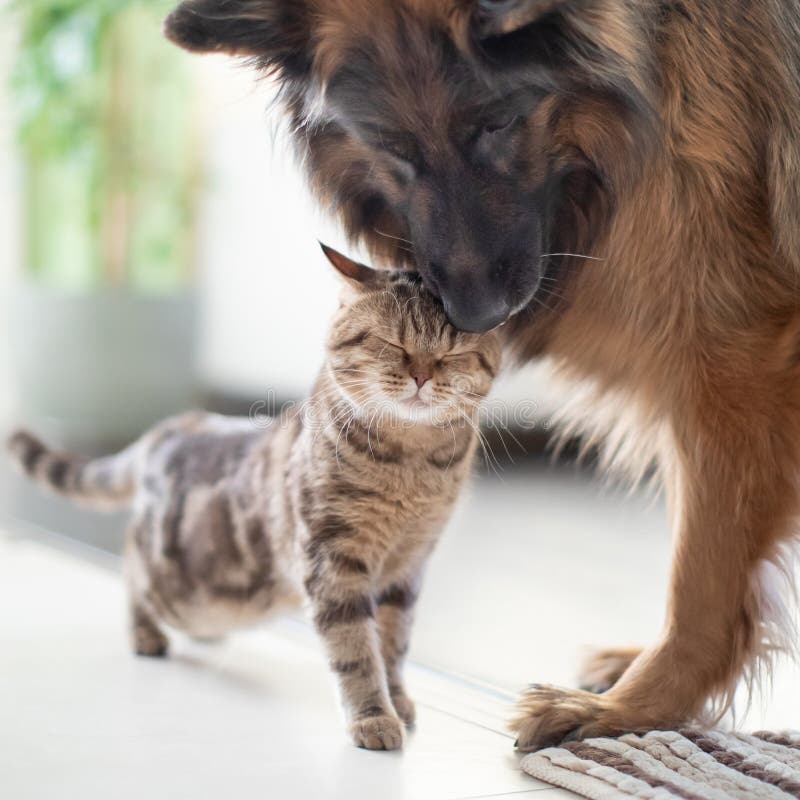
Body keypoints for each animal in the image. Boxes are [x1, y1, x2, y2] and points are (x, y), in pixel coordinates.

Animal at [9, 242, 500, 752]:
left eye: (453, 353)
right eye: (393, 344)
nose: (422, 375)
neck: (412, 464)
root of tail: (171, 427)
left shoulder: (408, 566)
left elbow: (393, 644)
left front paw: (397, 699)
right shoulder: (333, 560)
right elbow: (357, 651)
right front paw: (373, 716)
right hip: (169, 578)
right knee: (130, 569)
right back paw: (145, 634)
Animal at [162, 0, 800, 752]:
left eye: (497, 123)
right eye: (393, 146)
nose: (475, 317)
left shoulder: (735, 363)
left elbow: (701, 578)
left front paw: (628, 710)